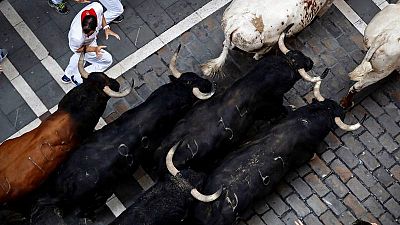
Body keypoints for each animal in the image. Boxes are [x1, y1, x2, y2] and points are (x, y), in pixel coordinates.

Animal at [29, 71, 214, 222]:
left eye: (190, 78)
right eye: (191, 95)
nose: (209, 83)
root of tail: (67, 183)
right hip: (99, 198)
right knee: (82, 212)